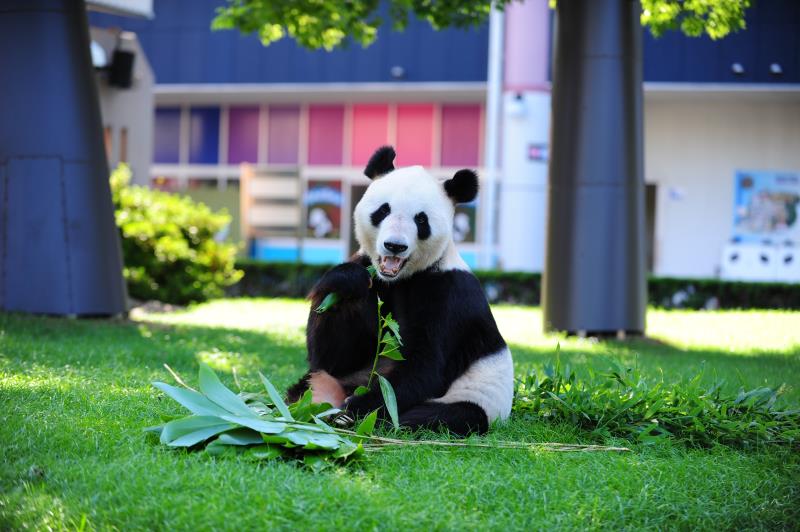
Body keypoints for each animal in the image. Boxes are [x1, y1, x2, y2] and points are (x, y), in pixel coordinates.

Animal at [288, 145, 512, 436]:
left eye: (421, 220)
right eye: (383, 210)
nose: (395, 246)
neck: (400, 279)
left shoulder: (448, 295)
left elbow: (424, 368)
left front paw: (358, 408)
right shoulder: (372, 276)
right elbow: (332, 357)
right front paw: (347, 281)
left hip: (476, 400)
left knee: (441, 416)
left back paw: (350, 415)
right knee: (309, 383)